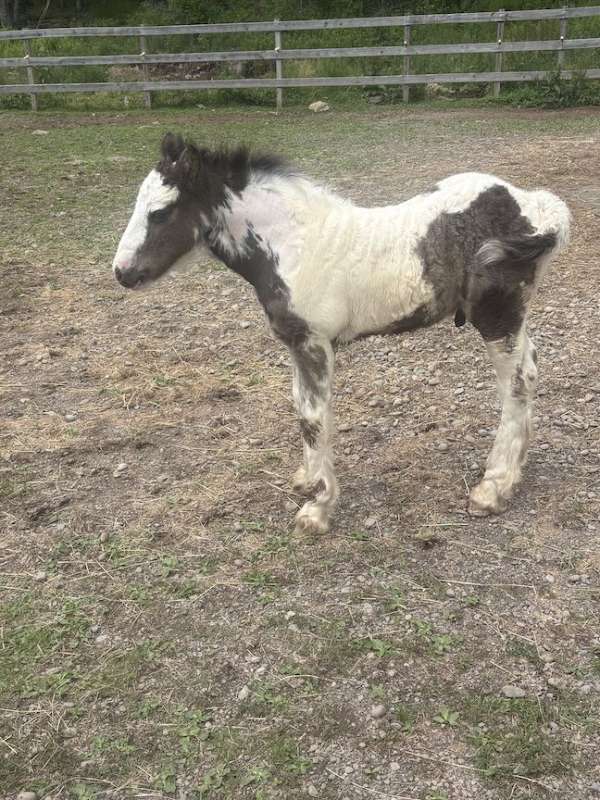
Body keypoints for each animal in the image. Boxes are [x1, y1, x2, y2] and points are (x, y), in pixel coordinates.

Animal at [113, 133, 570, 534]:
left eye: (160, 212)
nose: (121, 273)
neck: (293, 244)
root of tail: (535, 206)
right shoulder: (296, 345)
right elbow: (301, 404)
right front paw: (306, 478)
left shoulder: (313, 343)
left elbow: (313, 418)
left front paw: (318, 508)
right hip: (513, 318)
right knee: (530, 369)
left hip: (497, 316)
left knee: (516, 384)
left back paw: (493, 487)